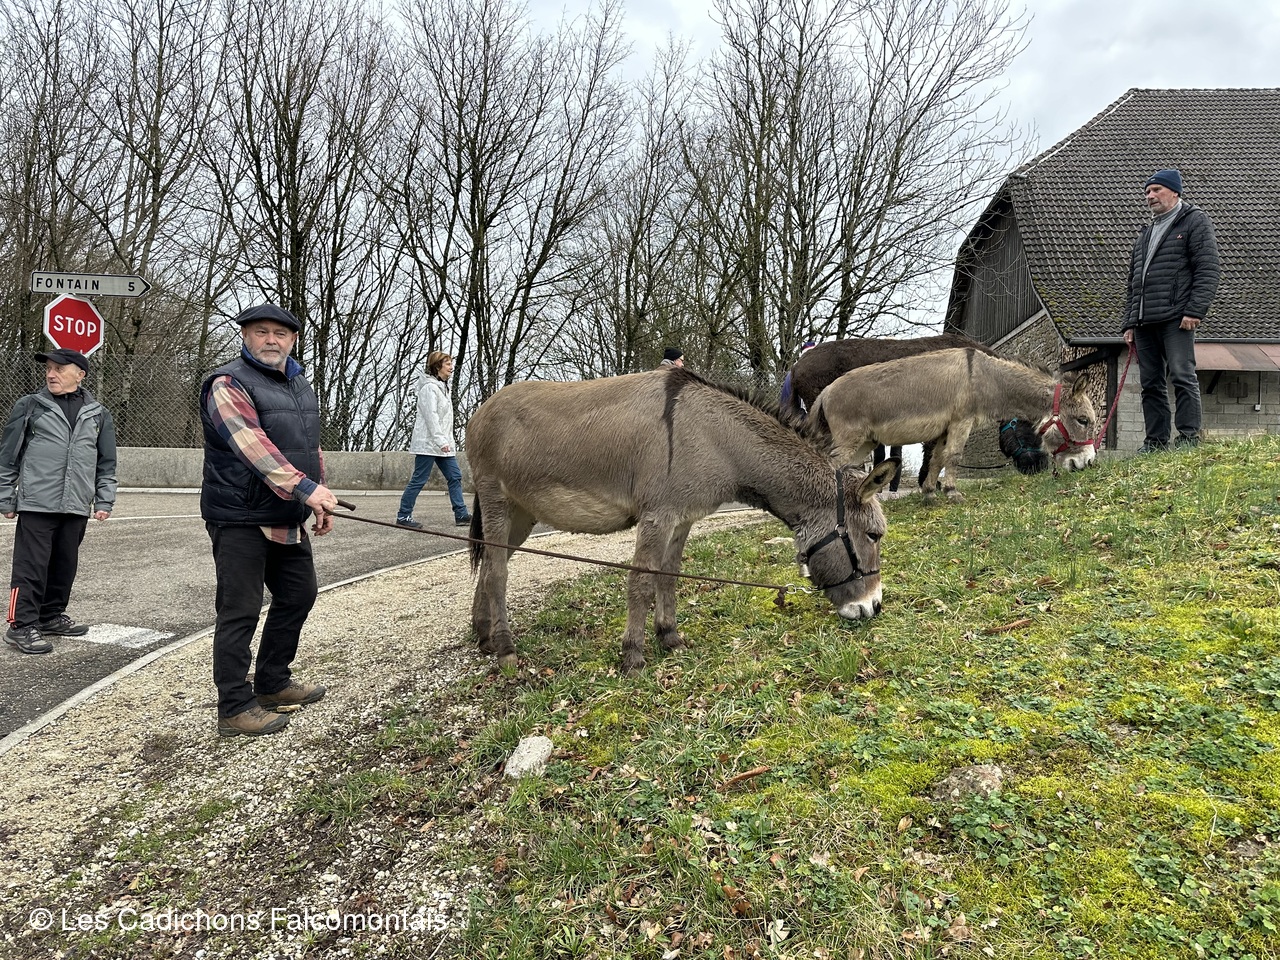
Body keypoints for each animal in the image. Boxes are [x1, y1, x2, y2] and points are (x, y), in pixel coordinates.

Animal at [465, 367, 900, 675]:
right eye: (873, 535)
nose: (873, 607)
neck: (715, 440)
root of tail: (480, 410)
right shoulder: (658, 517)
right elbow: (641, 581)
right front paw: (633, 657)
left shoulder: (684, 520)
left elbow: (669, 576)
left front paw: (669, 637)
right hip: (496, 499)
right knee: (498, 572)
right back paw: (505, 649)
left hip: (522, 512)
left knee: (489, 564)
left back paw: (485, 636)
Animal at [807, 348, 1097, 501]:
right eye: (1083, 420)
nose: (1088, 463)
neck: (985, 377)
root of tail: (827, 391)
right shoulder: (961, 421)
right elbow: (954, 456)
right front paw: (952, 491)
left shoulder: (945, 428)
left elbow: (937, 459)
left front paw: (929, 494)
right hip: (849, 439)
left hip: (864, 443)